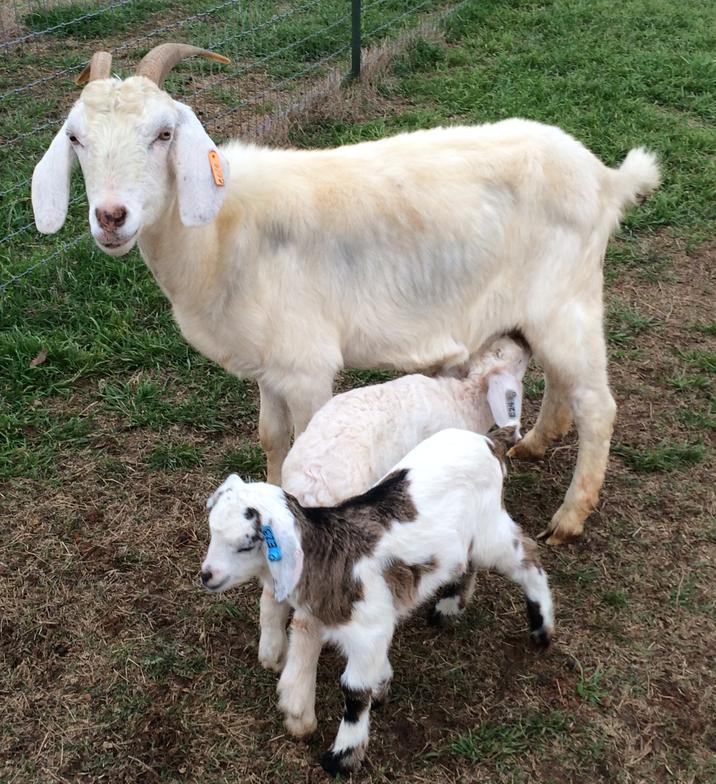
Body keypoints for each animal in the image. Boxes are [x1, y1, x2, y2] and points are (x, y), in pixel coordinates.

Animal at [31, 43, 661, 544]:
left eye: (164, 134)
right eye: (75, 138)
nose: (111, 217)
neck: (222, 232)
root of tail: (606, 179)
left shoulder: (307, 367)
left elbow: (305, 443)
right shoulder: (270, 365)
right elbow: (271, 438)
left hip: (567, 300)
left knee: (598, 404)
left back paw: (570, 518)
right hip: (544, 309)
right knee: (561, 380)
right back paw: (533, 444)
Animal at [201, 428, 554, 775]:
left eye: (246, 544)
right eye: (212, 531)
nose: (206, 575)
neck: (328, 555)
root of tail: (491, 442)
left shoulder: (368, 628)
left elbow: (354, 691)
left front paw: (343, 757)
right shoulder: (367, 626)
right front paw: (382, 682)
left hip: (490, 530)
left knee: (529, 557)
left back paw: (542, 627)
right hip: (466, 541)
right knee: (469, 563)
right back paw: (450, 605)